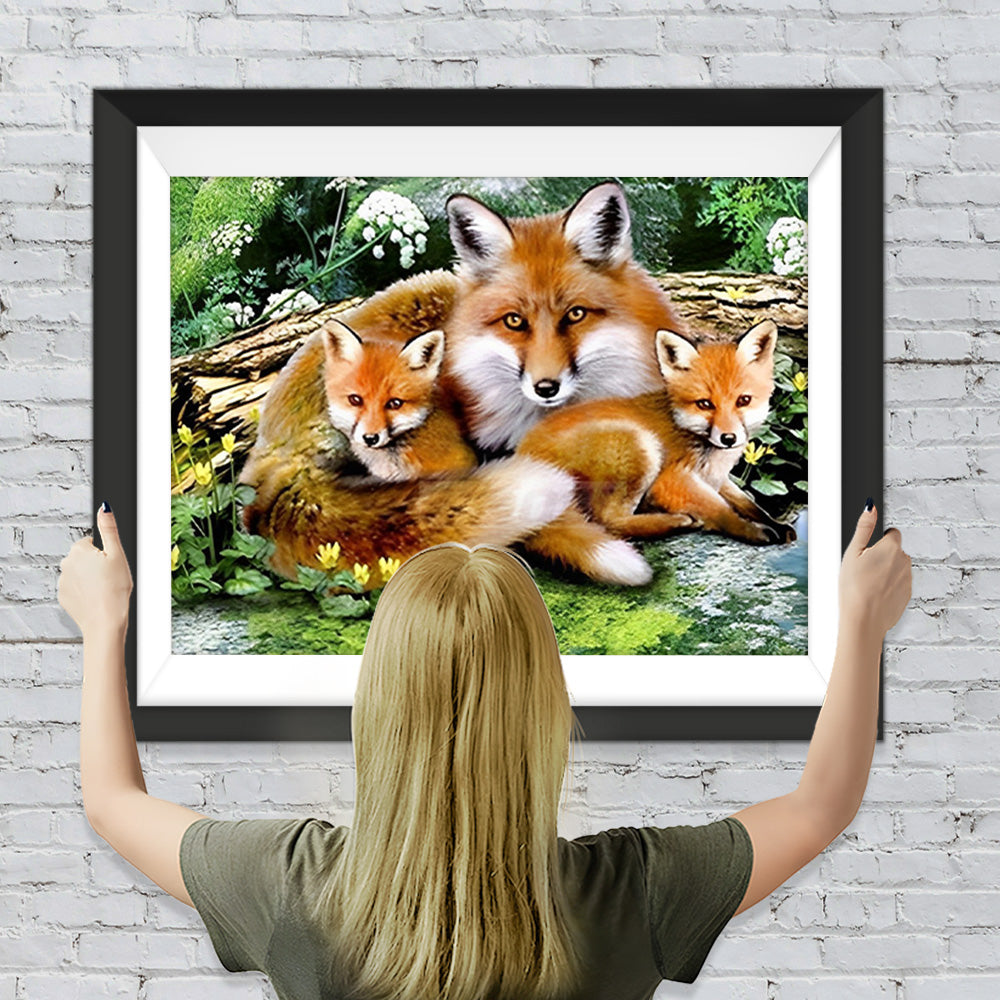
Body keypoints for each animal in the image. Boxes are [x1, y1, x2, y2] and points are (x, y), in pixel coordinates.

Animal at [516, 318, 797, 587]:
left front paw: (775, 524)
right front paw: (752, 531)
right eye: (705, 404)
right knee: (609, 521)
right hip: (640, 445)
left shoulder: (716, 478)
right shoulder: (670, 480)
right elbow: (721, 510)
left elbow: (748, 503)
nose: (729, 438)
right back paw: (676, 522)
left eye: (743, 400)